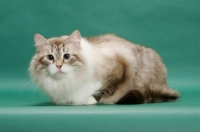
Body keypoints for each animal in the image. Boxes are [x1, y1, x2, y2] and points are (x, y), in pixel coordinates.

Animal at [28, 29, 179, 105]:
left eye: (66, 56)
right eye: (50, 58)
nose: (58, 66)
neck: (67, 82)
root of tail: (163, 82)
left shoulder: (119, 68)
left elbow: (104, 89)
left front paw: (89, 100)